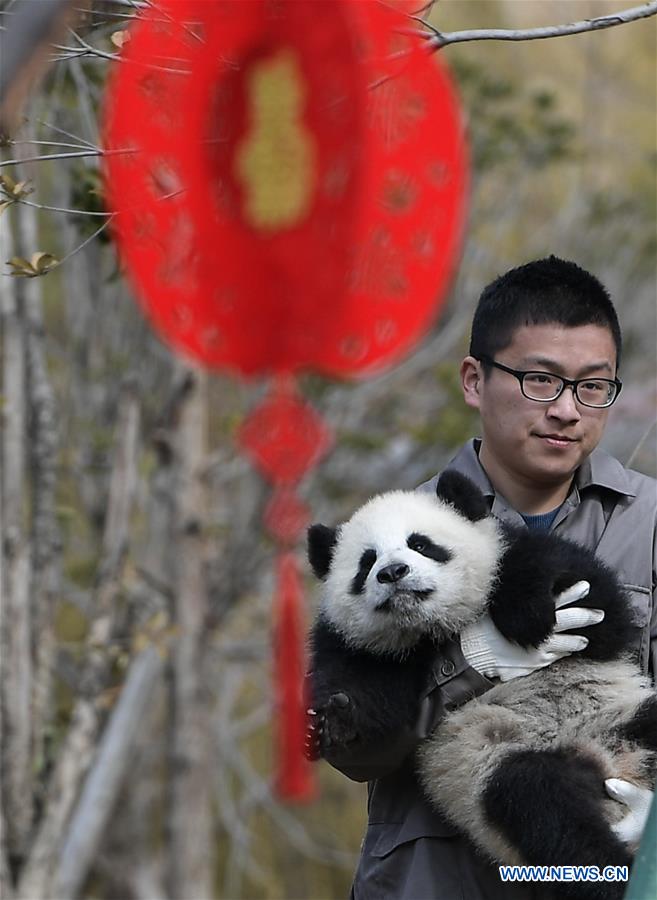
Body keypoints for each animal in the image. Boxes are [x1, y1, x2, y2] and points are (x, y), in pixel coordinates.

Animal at [308, 474, 656, 896]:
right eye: (367, 562)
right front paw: (337, 716)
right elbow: (369, 712)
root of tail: (612, 762)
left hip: (621, 715)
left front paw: (529, 613)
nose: (393, 572)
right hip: (493, 766)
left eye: (421, 544)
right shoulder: (353, 645)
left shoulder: (516, 552)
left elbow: (595, 606)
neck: (435, 629)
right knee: (542, 806)